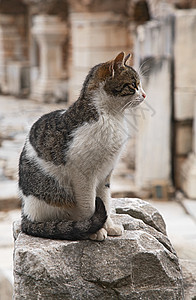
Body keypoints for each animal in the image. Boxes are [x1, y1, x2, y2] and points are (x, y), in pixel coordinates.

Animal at [18, 51, 145, 241]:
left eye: (140, 84)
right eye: (133, 85)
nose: (144, 95)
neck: (111, 116)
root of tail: (26, 215)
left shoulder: (106, 173)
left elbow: (105, 201)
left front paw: (109, 226)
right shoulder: (84, 177)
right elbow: (90, 205)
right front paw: (96, 230)